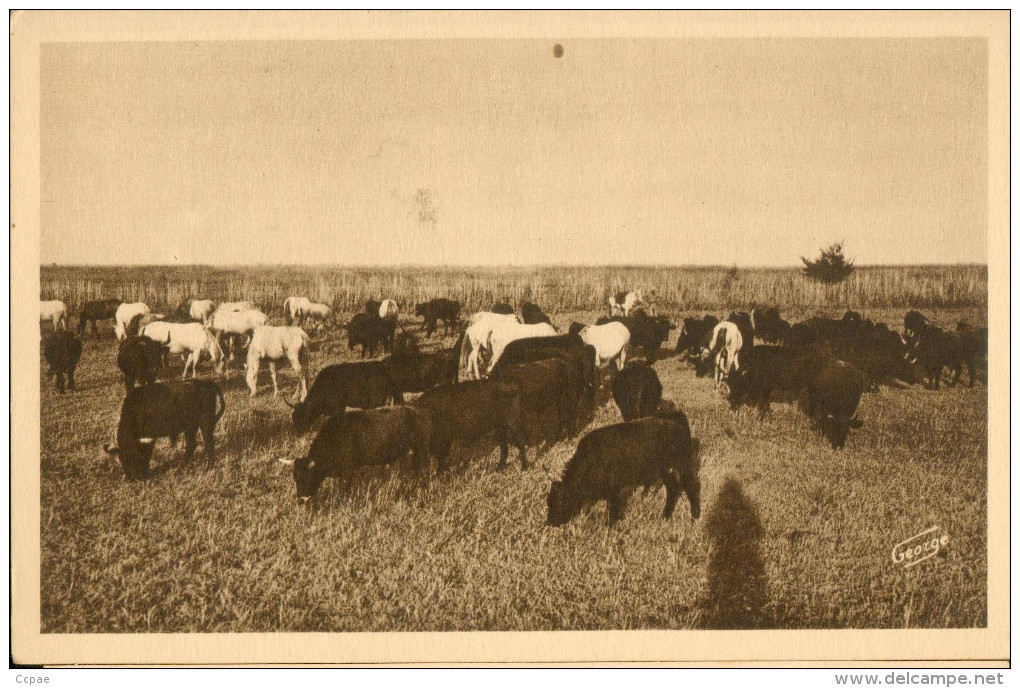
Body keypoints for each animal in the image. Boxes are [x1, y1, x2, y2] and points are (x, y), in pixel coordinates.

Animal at [283, 405, 430, 503]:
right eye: (295, 478)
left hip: (420, 449)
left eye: (307, 477)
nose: (301, 500)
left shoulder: (348, 470)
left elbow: (345, 490)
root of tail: (416, 411)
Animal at [550, 409, 701, 525]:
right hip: (666, 471)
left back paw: (694, 518)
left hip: (682, 466)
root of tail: (676, 416)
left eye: (561, 500)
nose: (551, 522)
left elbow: (613, 510)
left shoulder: (616, 490)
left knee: (692, 487)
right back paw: (665, 517)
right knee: (673, 489)